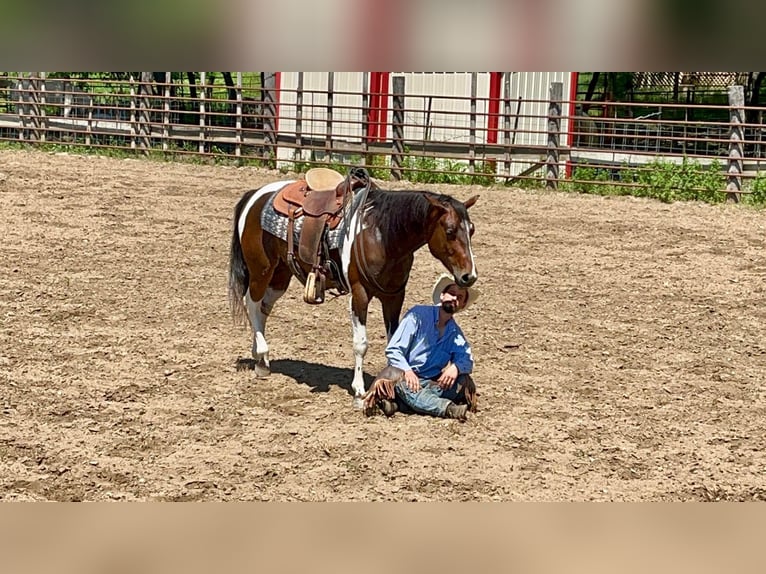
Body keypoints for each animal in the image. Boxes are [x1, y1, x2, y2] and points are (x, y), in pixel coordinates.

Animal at [227, 167, 479, 408]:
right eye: (449, 231)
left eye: (472, 230)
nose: (469, 276)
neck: (381, 234)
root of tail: (255, 195)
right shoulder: (360, 294)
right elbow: (361, 344)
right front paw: (359, 390)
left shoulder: (394, 295)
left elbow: (394, 339)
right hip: (261, 269)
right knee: (252, 303)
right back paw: (262, 357)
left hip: (280, 276)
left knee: (263, 309)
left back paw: (260, 358)